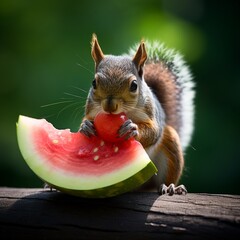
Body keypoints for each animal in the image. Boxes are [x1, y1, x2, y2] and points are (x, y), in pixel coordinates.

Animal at [79, 33, 194, 195]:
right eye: (94, 83)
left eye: (134, 85)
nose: (109, 106)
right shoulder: (91, 110)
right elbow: (86, 119)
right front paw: (86, 126)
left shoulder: (151, 112)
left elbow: (153, 131)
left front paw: (133, 129)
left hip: (170, 147)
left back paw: (170, 187)